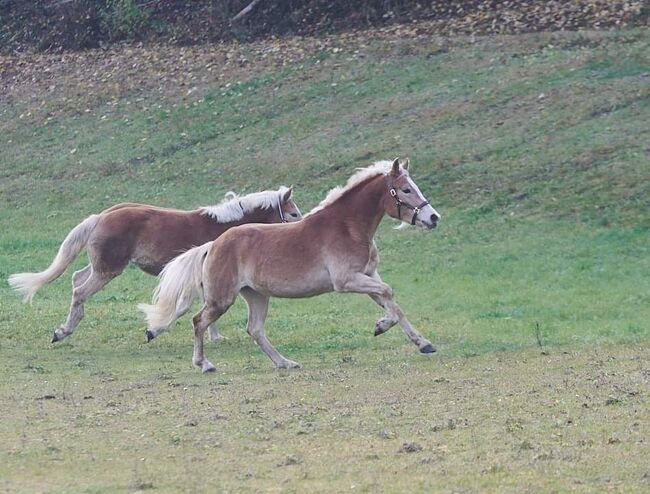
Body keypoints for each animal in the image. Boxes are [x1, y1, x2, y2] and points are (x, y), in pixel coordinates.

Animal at [8, 187, 302, 346]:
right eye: (293, 213)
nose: (301, 229)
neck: (220, 229)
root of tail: (101, 217)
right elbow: (185, 307)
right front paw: (154, 330)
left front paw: (214, 336)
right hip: (108, 270)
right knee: (80, 291)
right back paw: (62, 331)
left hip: (100, 266)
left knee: (76, 279)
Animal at [139, 158, 438, 370]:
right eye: (405, 190)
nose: (434, 218)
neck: (347, 227)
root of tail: (213, 245)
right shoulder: (346, 281)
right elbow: (388, 294)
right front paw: (392, 330)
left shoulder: (368, 275)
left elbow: (390, 301)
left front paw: (413, 339)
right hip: (221, 299)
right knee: (199, 320)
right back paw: (204, 364)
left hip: (256, 295)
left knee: (254, 329)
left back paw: (285, 363)